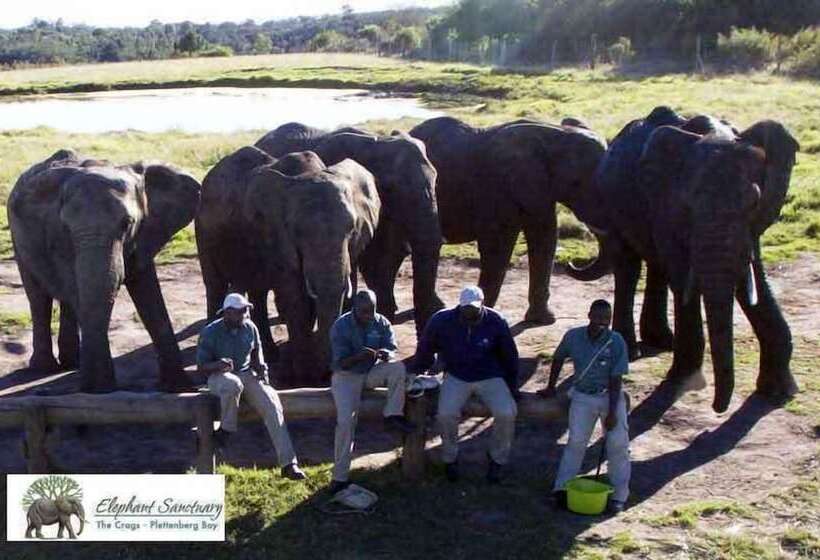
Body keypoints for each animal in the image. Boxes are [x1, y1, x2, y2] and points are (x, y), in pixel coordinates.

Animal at [7, 150, 201, 393]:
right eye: (66, 227)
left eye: (127, 224)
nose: (93, 388)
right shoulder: (57, 237)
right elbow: (80, 292)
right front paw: (100, 388)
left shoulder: (145, 232)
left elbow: (148, 291)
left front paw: (179, 387)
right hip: (18, 238)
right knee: (38, 296)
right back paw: (45, 368)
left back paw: (72, 363)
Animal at [196, 146, 380, 386]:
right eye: (297, 232)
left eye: (352, 228)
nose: (325, 374)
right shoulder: (276, 237)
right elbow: (294, 296)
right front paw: (303, 376)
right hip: (203, 231)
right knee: (215, 285)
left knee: (256, 289)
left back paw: (271, 354)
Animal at [409, 116, 607, 324]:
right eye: (577, 183)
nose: (571, 264)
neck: (555, 134)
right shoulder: (498, 186)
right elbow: (497, 246)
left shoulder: (539, 190)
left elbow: (544, 238)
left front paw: (542, 320)